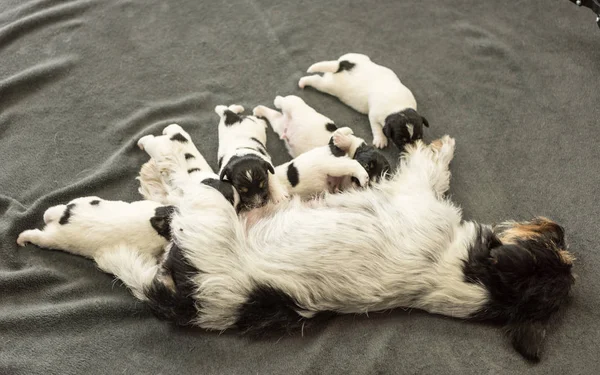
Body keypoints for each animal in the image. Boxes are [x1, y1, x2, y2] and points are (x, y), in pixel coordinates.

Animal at [17, 135, 572, 362]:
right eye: (558, 244)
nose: (562, 225)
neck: (479, 278)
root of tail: (190, 301)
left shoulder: (417, 195)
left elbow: (426, 167)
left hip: (208, 214)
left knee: (190, 191)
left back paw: (164, 170)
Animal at [252, 95, 390, 184]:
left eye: (378, 179)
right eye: (367, 166)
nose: (368, 182)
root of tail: (286, 121)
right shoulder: (354, 143)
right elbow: (348, 140)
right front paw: (342, 139)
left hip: (278, 125)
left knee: (273, 115)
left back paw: (259, 110)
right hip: (294, 104)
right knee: (286, 102)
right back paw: (277, 100)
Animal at [298, 53, 428, 151]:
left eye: (419, 136)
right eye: (402, 140)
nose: (414, 151)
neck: (398, 107)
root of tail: (342, 64)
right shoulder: (374, 116)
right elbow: (377, 128)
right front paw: (381, 139)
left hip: (357, 56)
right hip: (330, 86)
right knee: (317, 81)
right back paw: (303, 82)